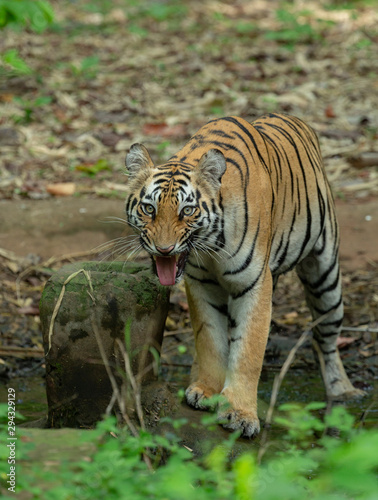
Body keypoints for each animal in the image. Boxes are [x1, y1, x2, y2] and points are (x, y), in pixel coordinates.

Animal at [123, 113, 364, 438]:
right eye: (149, 208)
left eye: (187, 211)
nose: (164, 249)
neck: (211, 245)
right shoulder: (201, 284)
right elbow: (210, 339)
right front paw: (207, 391)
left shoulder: (255, 284)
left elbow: (248, 350)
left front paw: (240, 414)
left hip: (325, 277)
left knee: (324, 339)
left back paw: (342, 391)